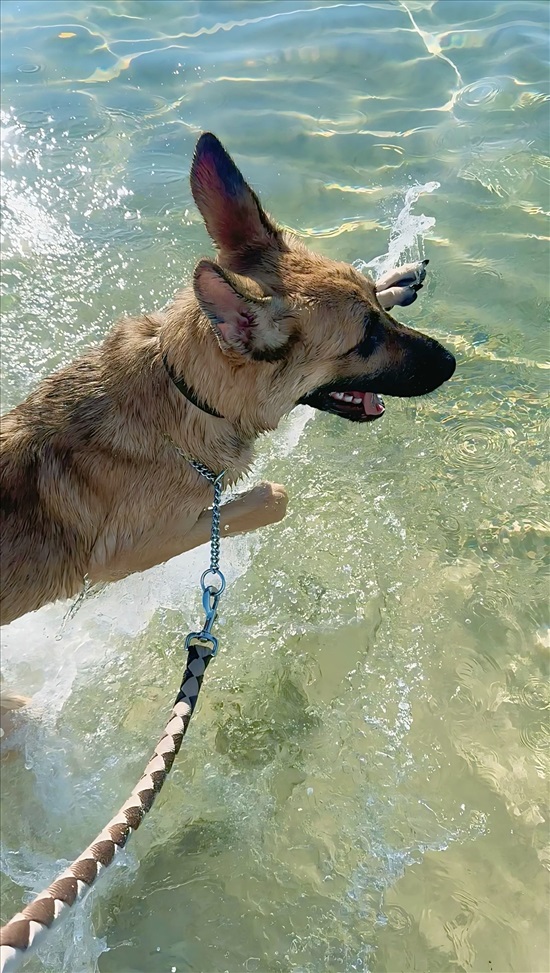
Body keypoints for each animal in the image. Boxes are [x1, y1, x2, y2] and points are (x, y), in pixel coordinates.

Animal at [0, 133, 458, 716]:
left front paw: (394, 281)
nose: (451, 362)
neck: (183, 389)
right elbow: (265, 498)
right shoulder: (123, 557)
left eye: (380, 320)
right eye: (364, 342)